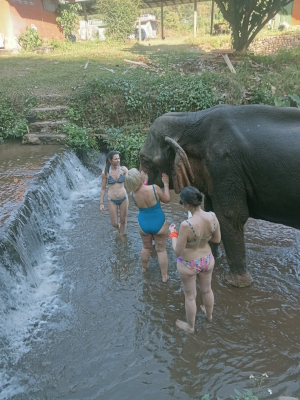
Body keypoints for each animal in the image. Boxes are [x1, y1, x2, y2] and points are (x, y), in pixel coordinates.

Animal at [139, 104, 300, 288]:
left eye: (144, 159)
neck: (190, 119)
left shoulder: (224, 165)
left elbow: (230, 216)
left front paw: (235, 283)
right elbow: (211, 212)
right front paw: (213, 258)